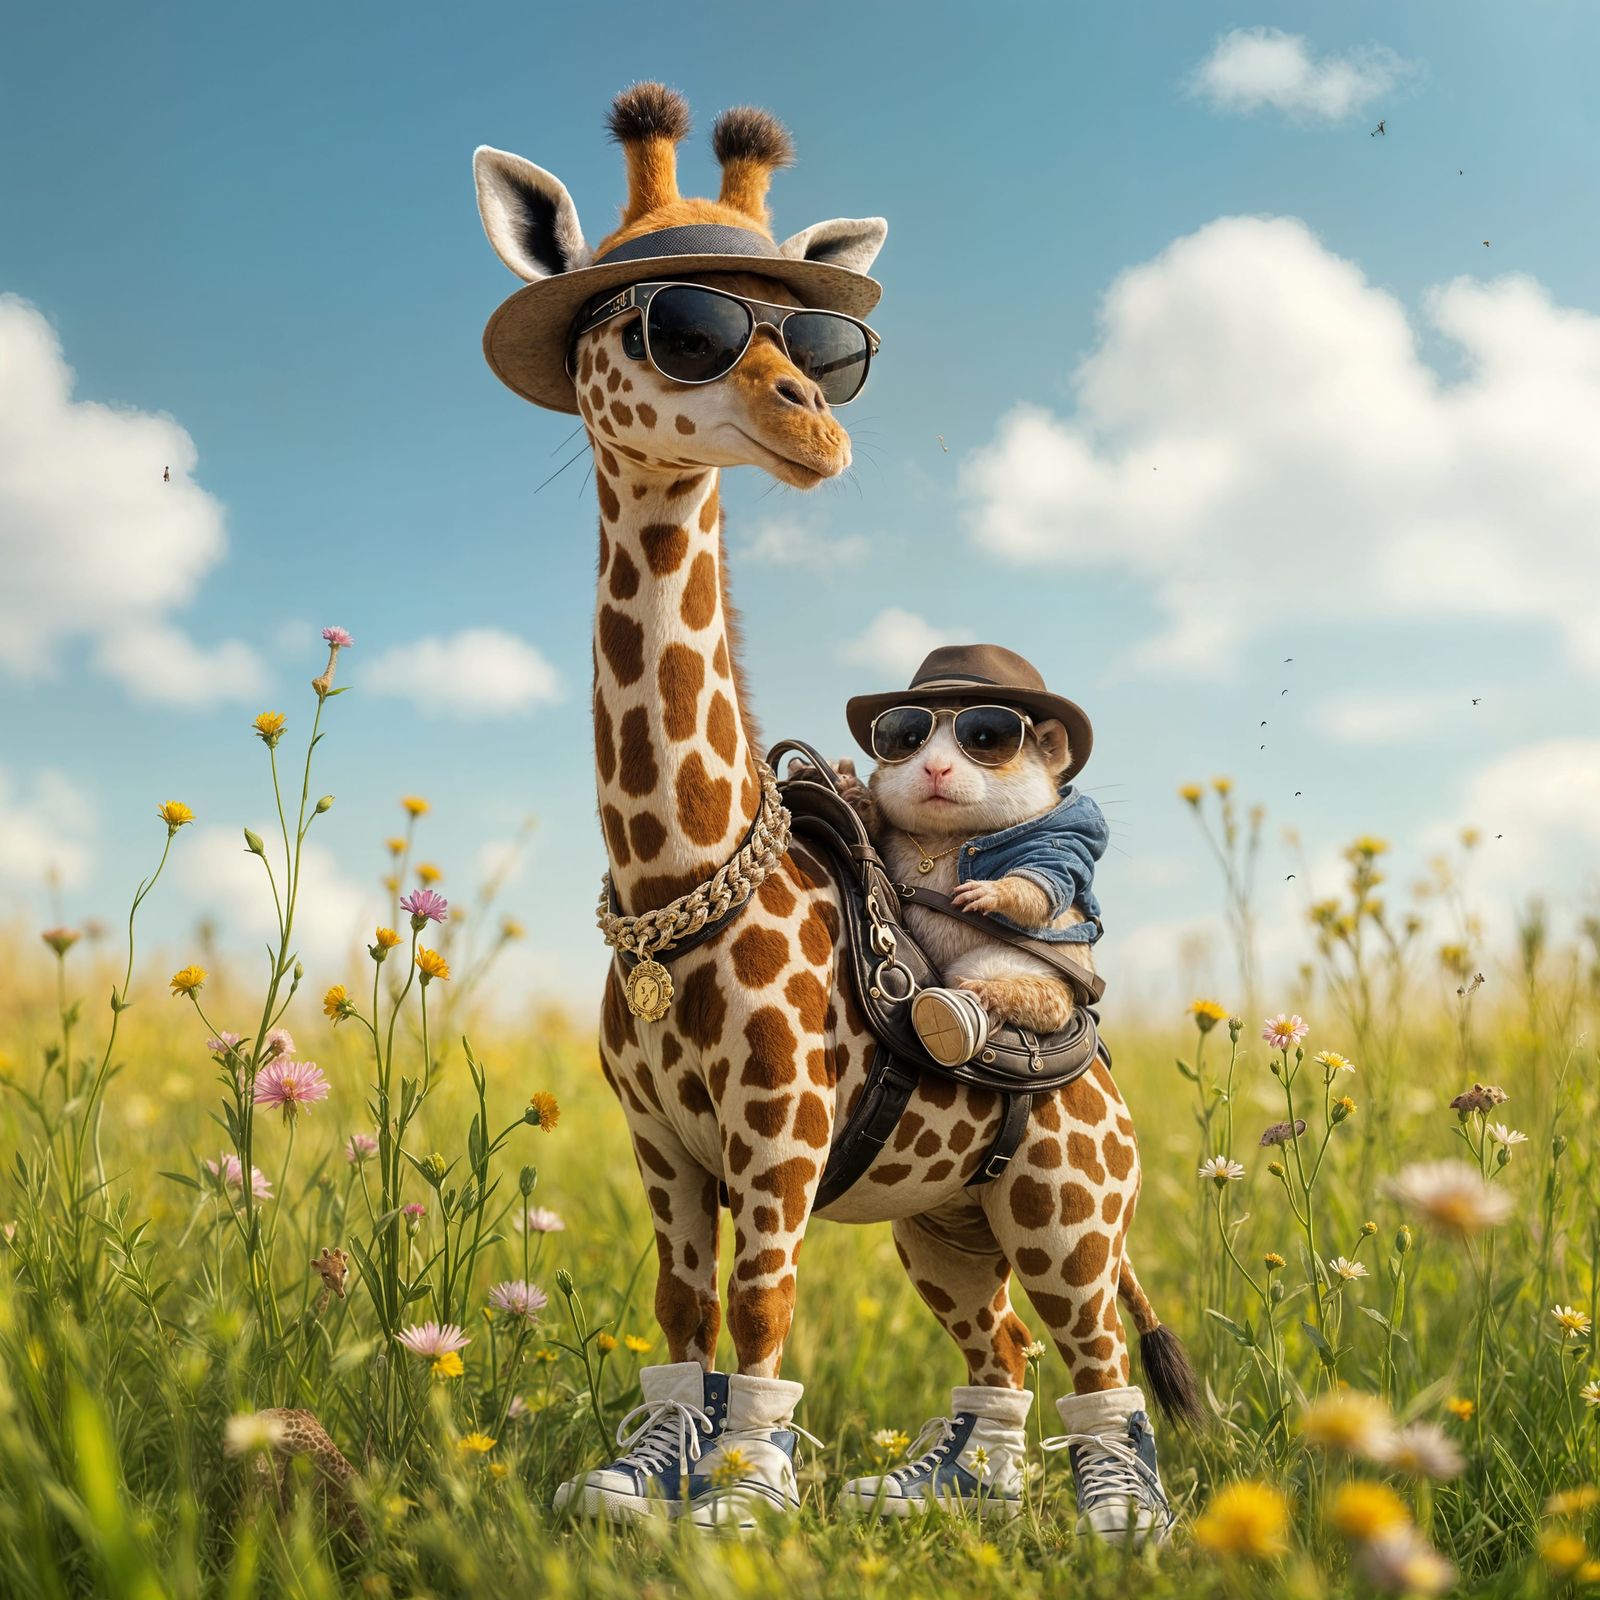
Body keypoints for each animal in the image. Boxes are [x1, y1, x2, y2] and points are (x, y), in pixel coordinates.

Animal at [473, 83, 1196, 1535]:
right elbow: (680, 1311)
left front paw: (746, 1494)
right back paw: (943, 1491)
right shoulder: (661, 1148)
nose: (816, 423)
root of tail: (1110, 1084)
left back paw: (1118, 1513)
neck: (675, 876)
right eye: (671, 325)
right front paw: (647, 1474)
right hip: (944, 1224)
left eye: (820, 342)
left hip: (1069, 1210)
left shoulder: (782, 1140)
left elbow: (761, 1311)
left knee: (1095, 1350)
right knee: (1004, 1347)